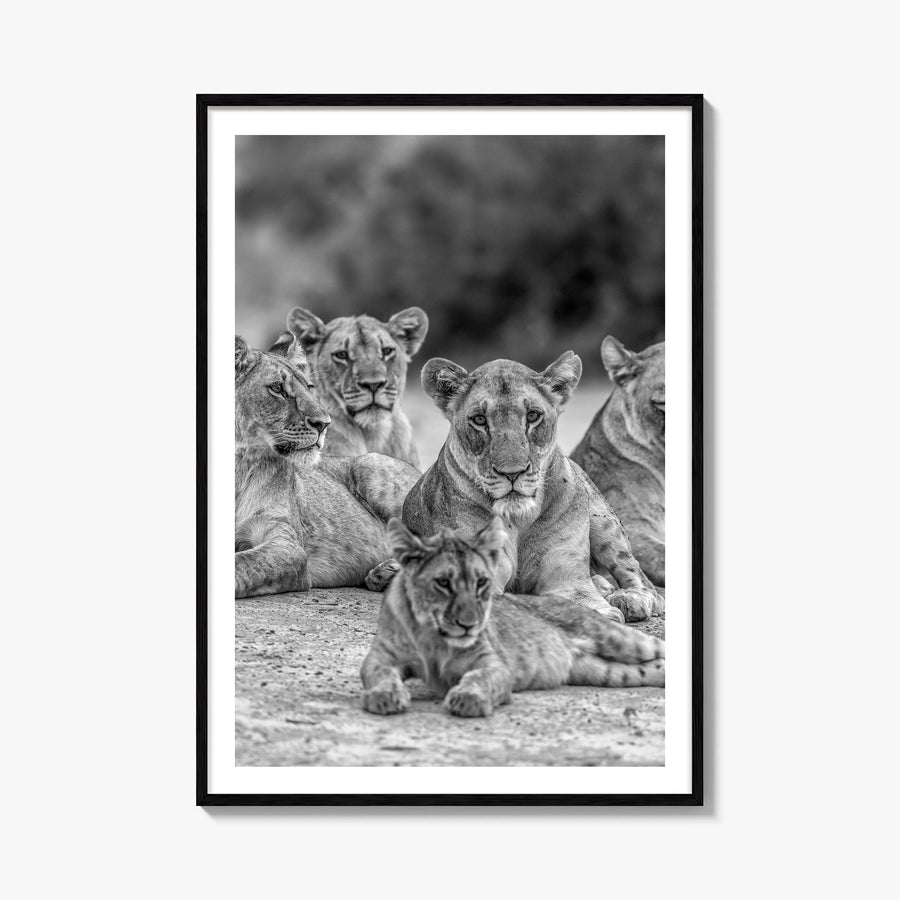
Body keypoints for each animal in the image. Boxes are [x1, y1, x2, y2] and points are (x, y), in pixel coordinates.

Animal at [234, 331, 421, 598]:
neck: (238, 467)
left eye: (309, 387)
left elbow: (241, 563)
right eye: (277, 388)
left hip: (371, 465)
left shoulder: (288, 545)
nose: (324, 424)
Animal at [361, 518, 665, 717]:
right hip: (601, 671)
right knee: (649, 668)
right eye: (443, 583)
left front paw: (468, 699)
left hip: (615, 637)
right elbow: (379, 674)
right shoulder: (380, 658)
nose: (470, 623)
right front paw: (384, 696)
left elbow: (481, 678)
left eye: (482, 582)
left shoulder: (494, 664)